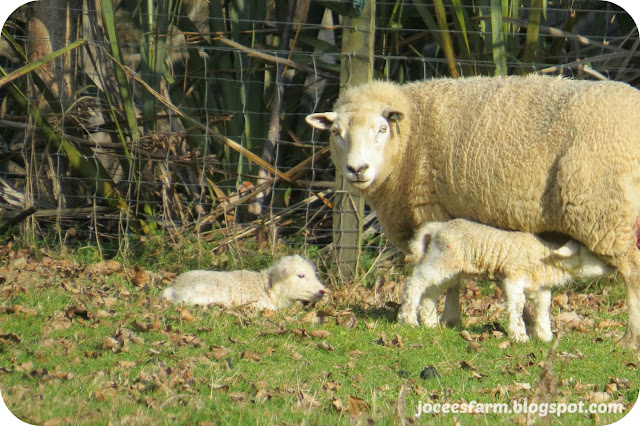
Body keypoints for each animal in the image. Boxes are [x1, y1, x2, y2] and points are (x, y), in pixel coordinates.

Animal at [396, 220, 616, 342]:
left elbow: (543, 309)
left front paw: (545, 336)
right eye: (592, 253)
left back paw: (430, 322)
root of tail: (437, 227)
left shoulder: (541, 288)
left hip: (448, 265)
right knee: (416, 282)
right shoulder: (513, 278)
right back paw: (408, 319)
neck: (546, 260)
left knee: (430, 291)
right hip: (443, 259)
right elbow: (517, 306)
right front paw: (520, 335)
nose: (613, 265)